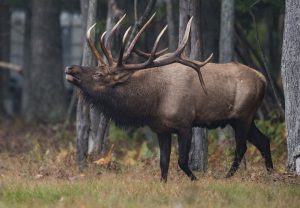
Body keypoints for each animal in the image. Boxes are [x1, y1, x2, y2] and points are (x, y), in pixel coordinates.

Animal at [66, 13, 274, 181]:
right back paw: (271, 174)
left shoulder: (185, 124)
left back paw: (227, 177)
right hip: (245, 118)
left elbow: (181, 161)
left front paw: (196, 180)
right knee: (264, 140)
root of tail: (263, 79)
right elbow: (163, 162)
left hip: (243, 115)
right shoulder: (161, 129)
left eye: (98, 74)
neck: (152, 102)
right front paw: (163, 183)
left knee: (241, 148)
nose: (70, 68)